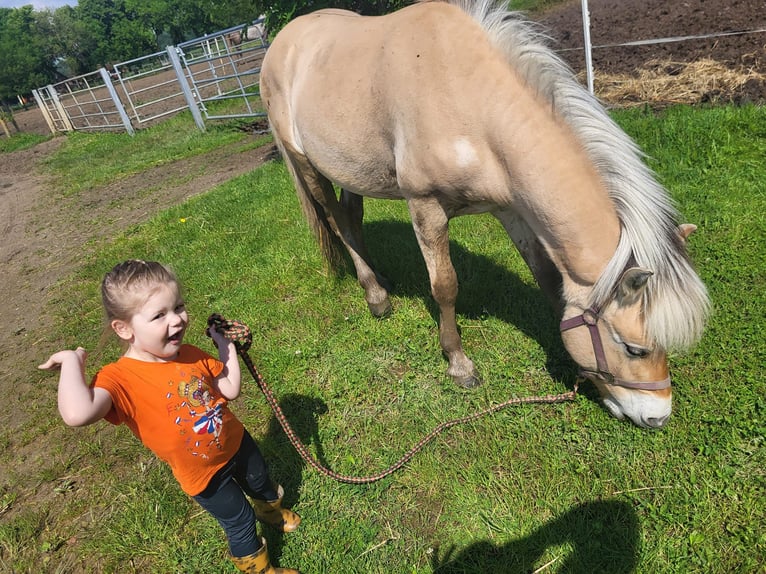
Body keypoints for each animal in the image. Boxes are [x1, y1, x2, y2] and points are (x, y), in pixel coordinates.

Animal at [260, 0, 712, 430]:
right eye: (635, 348)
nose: (658, 417)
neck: (468, 99)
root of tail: (282, 42)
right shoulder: (425, 206)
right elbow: (445, 286)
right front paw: (459, 365)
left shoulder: (511, 209)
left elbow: (546, 276)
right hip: (305, 162)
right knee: (336, 220)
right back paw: (375, 295)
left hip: (354, 169)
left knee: (352, 219)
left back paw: (382, 282)